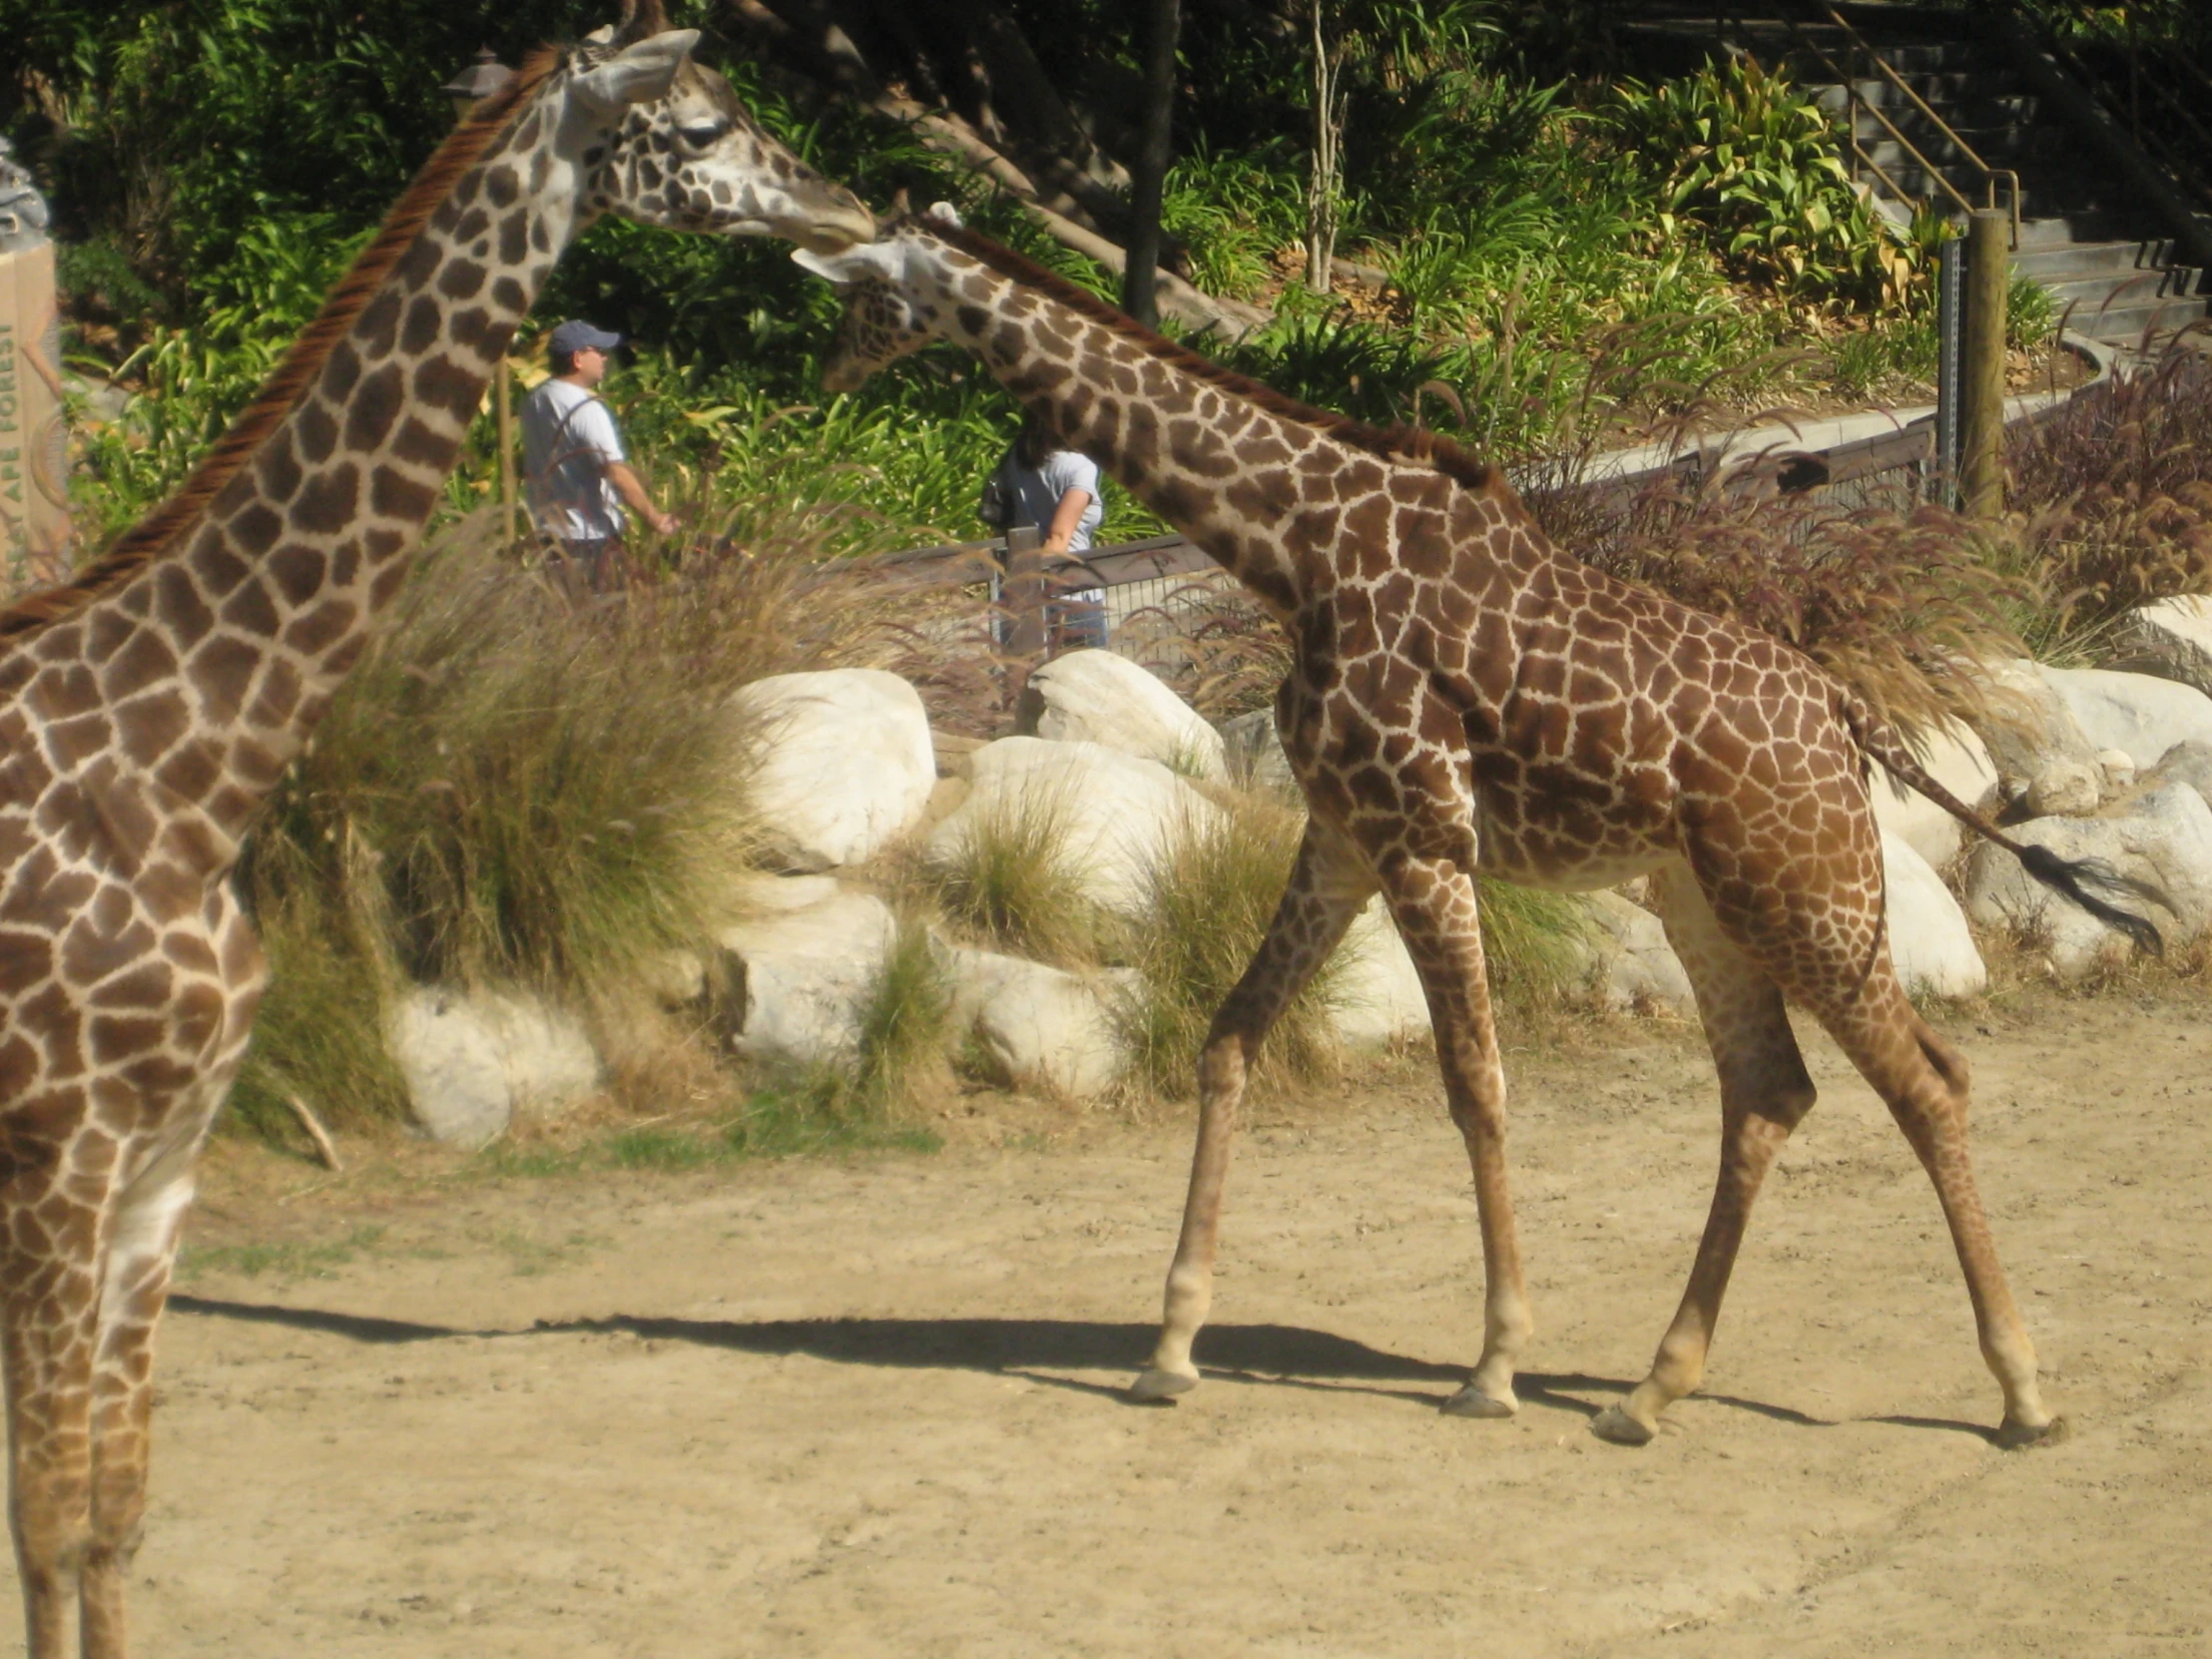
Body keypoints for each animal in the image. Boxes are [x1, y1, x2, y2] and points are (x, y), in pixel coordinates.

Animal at [0, 6, 871, 1654]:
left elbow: (111, 1513)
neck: (184, 765)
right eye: (703, 123)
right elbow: (46, 1518)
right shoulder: (57, 1157)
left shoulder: (163, 1162)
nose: (848, 208)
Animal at [796, 208, 2158, 1450]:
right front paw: (1169, 1344)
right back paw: (1648, 1391)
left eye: (864, 287)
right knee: (1771, 1090)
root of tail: (1839, 711)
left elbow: (1475, 1082)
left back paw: (2021, 1394)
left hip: (1804, 891)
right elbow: (1228, 1039)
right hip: (1702, 897)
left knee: (1928, 1082)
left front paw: (1494, 1363)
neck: (1295, 548)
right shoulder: (1342, 834)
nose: (827, 375)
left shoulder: (1422, 838)